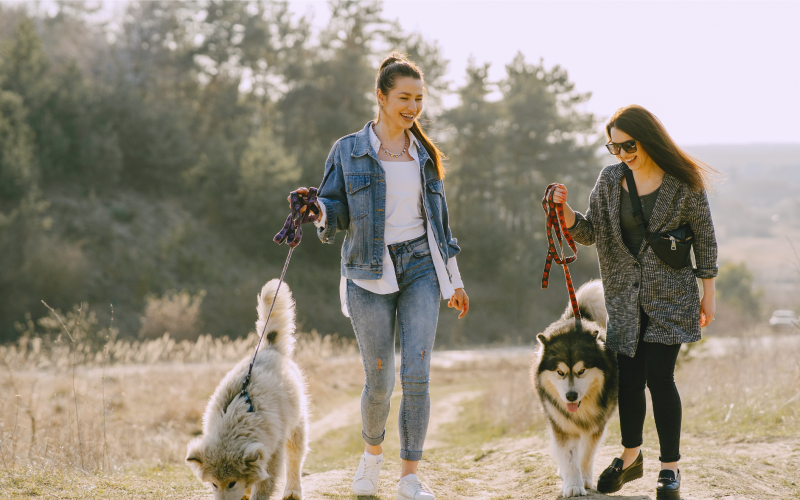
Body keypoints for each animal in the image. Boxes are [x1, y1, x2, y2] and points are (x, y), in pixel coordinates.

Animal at [187, 280, 310, 500]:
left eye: (232, 483)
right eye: (214, 484)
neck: (237, 419)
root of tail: (269, 348)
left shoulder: (272, 454)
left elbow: (263, 486)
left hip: (297, 426)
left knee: (295, 460)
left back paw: (293, 491)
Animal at [532, 282, 620, 496]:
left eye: (581, 371)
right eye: (560, 372)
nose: (571, 396)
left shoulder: (597, 424)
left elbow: (586, 453)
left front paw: (585, 480)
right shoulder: (561, 424)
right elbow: (569, 456)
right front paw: (572, 484)